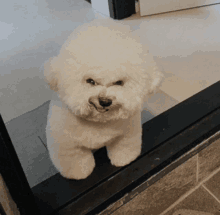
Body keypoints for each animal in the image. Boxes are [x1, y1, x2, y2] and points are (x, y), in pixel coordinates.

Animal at [44, 20, 163, 179]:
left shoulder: (127, 134)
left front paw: (123, 160)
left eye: (119, 82)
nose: (105, 101)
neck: (99, 122)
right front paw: (80, 174)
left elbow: (124, 148)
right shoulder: (67, 144)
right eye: (90, 81)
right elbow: (75, 160)